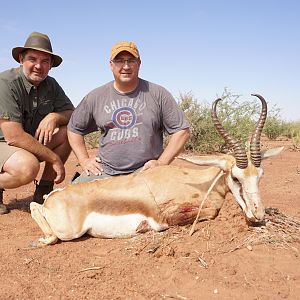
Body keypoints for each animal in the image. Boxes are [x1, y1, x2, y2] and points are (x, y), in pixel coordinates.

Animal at [29, 93, 282, 246]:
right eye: (236, 177)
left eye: (260, 176)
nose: (258, 215)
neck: (196, 181)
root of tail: (57, 196)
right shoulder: (173, 213)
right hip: (68, 232)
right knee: (39, 214)